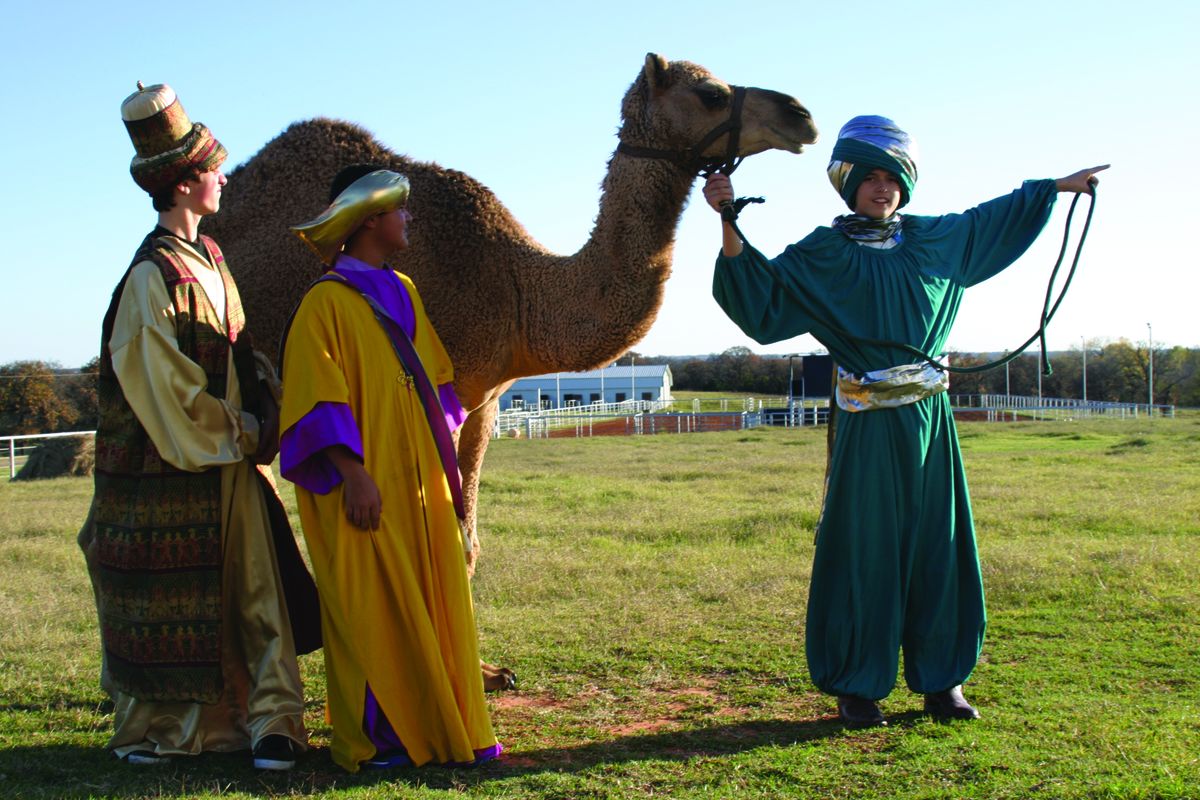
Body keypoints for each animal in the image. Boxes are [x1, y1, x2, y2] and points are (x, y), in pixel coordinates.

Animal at [206, 54, 820, 695]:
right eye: (709, 94)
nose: (800, 115)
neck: (519, 287)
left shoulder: (482, 402)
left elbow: (467, 538)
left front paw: (487, 672)